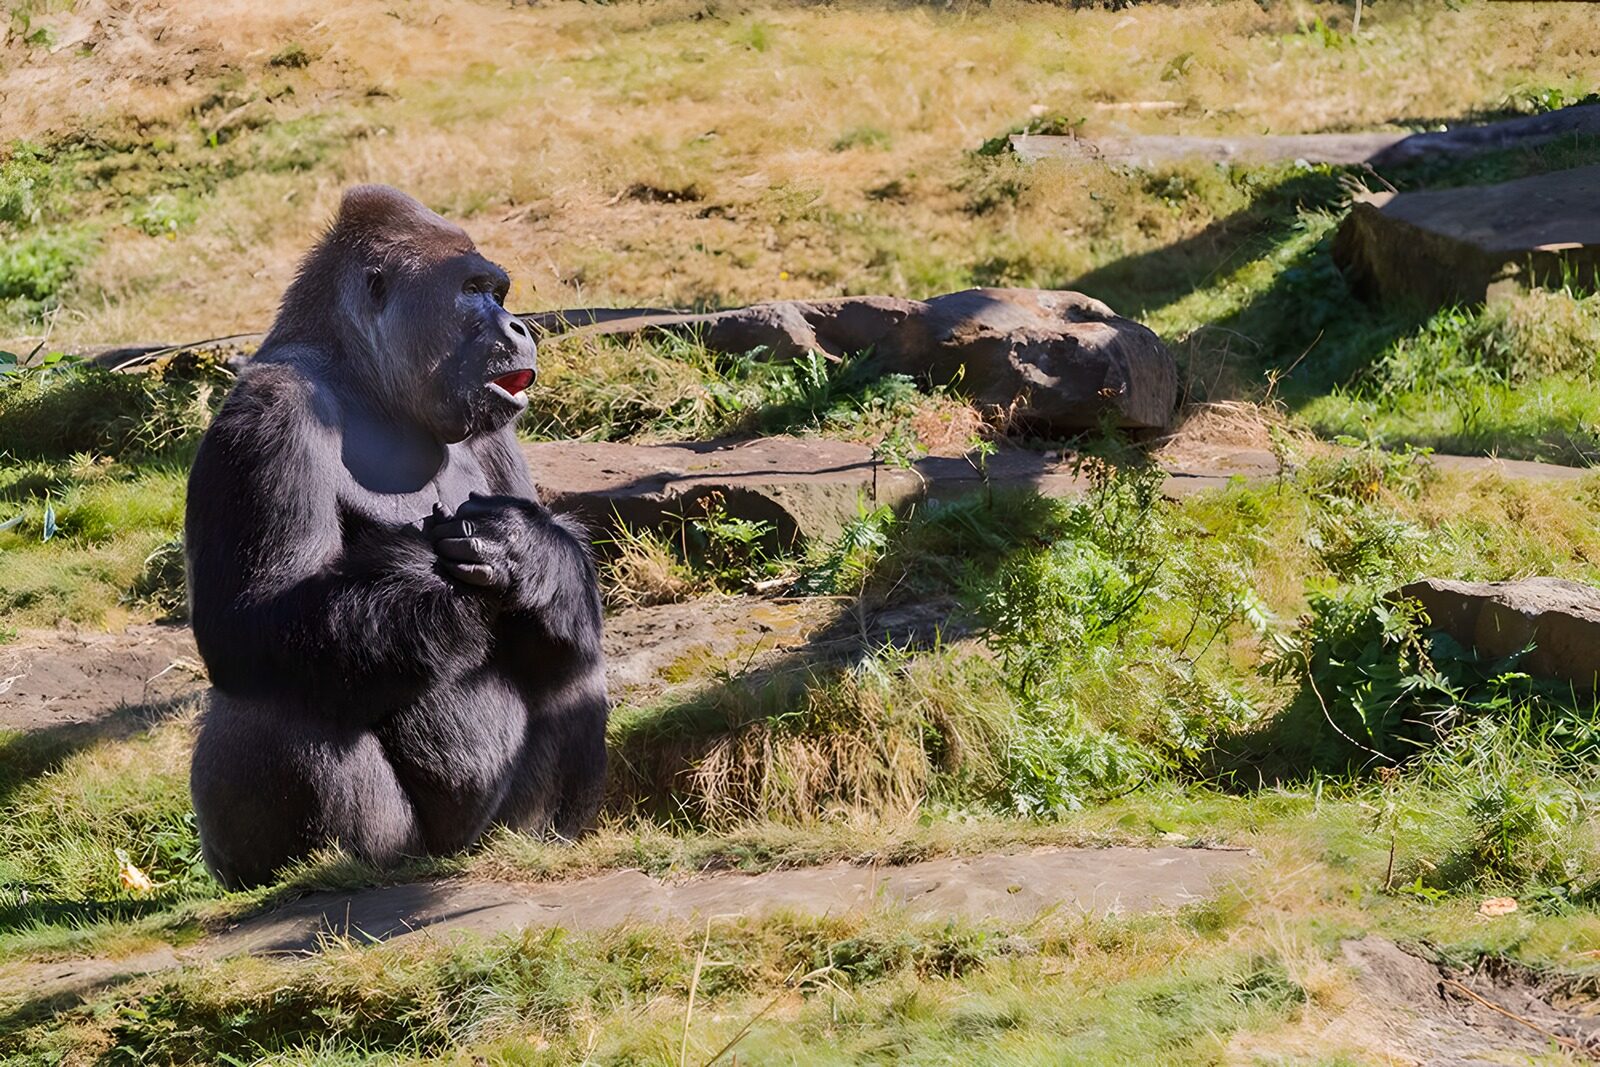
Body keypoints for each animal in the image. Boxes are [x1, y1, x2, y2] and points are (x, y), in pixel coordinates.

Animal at [184, 184, 607, 890]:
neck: (365, 379)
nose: (519, 326)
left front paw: (532, 553)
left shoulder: (495, 428)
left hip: (489, 835)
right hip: (387, 850)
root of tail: (450, 858)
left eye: (498, 291)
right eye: (472, 290)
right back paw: (322, 868)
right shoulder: (269, 409)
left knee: (570, 657)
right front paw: (436, 589)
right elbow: (251, 619)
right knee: (279, 688)